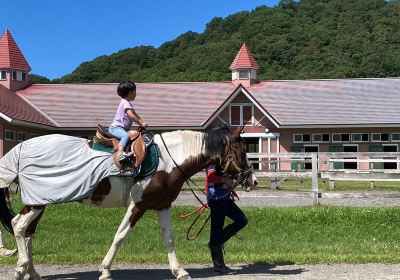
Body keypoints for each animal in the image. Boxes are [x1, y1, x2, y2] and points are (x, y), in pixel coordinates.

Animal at [0, 126, 255, 280]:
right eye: (240, 148)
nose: (251, 179)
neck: (168, 161)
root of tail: (21, 148)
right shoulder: (138, 206)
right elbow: (120, 236)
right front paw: (105, 270)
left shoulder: (162, 206)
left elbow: (169, 239)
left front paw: (179, 270)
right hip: (37, 203)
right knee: (19, 225)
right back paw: (21, 266)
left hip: (41, 202)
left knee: (28, 232)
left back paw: (32, 272)